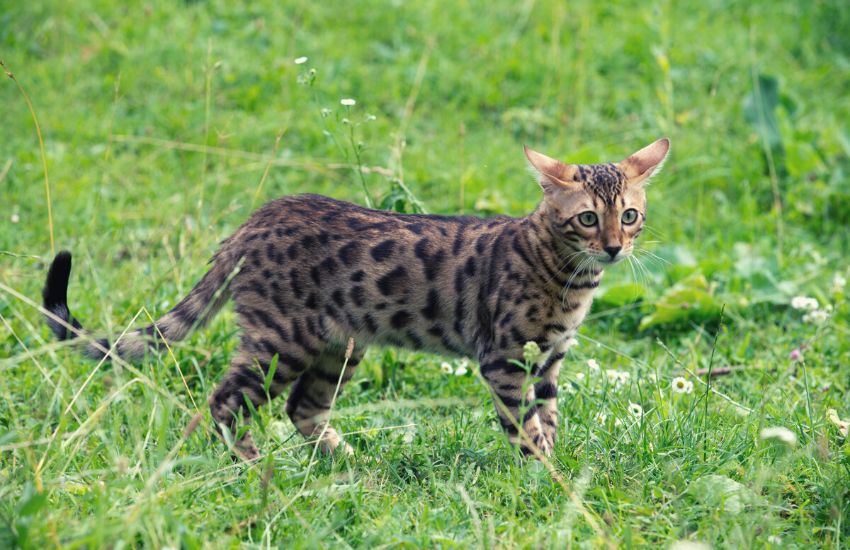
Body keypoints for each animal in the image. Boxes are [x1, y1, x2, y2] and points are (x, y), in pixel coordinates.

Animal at [43, 139, 668, 462]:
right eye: (586, 218)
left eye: (629, 215)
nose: (615, 248)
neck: (568, 278)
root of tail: (256, 218)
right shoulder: (504, 358)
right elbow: (525, 428)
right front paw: (549, 480)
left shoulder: (551, 360)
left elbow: (550, 418)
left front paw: (556, 471)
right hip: (281, 341)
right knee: (219, 404)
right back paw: (254, 468)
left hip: (339, 346)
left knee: (301, 408)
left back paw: (349, 466)